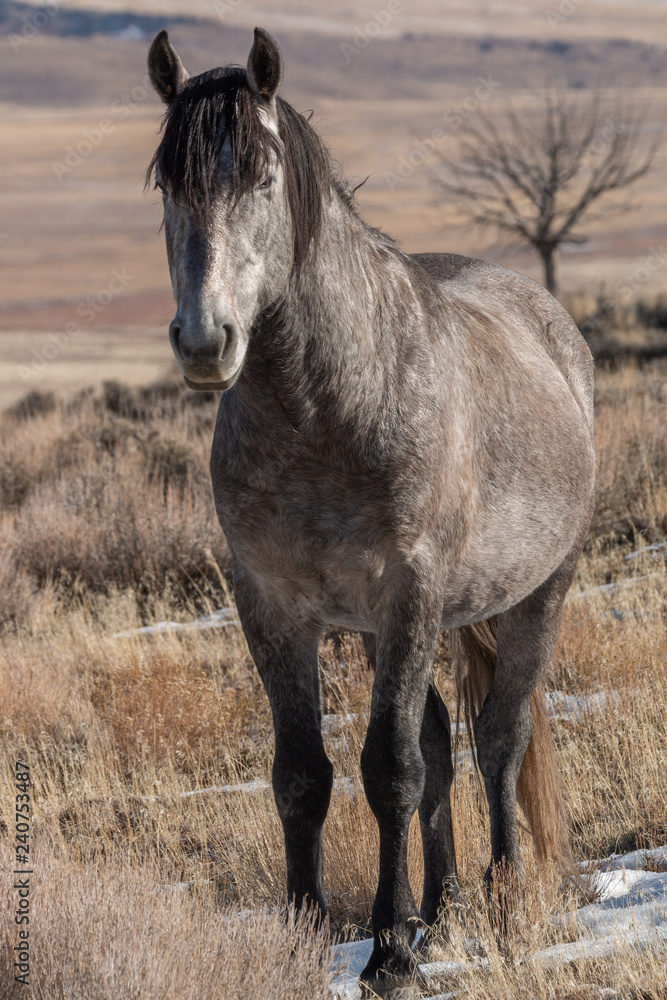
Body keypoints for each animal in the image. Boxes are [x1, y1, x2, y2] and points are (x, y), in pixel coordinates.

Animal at [146, 27, 596, 996]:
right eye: (168, 184)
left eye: (261, 178)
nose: (205, 342)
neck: (326, 406)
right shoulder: (274, 606)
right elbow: (302, 772)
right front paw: (307, 929)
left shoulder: (408, 591)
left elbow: (389, 767)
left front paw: (387, 951)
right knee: (439, 748)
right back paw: (445, 907)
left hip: (534, 594)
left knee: (497, 738)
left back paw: (502, 897)